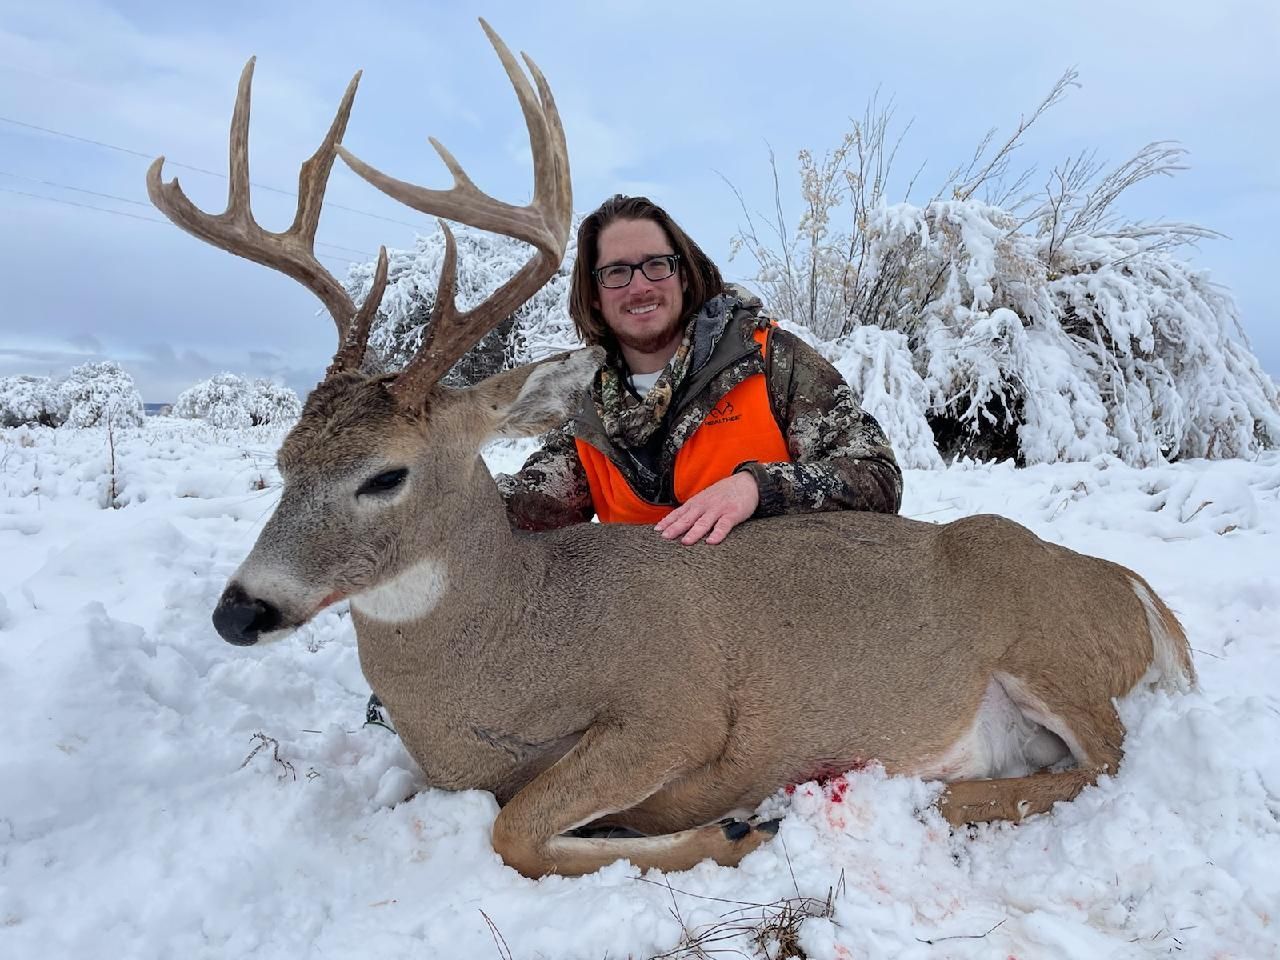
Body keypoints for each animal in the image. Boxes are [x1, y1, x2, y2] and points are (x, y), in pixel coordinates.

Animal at [148, 20, 1195, 879]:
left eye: (385, 475)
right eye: (283, 462)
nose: (239, 610)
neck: (509, 651)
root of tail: (1138, 595)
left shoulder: (678, 712)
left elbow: (516, 831)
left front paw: (738, 828)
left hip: (1044, 640)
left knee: (1108, 757)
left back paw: (936, 795)